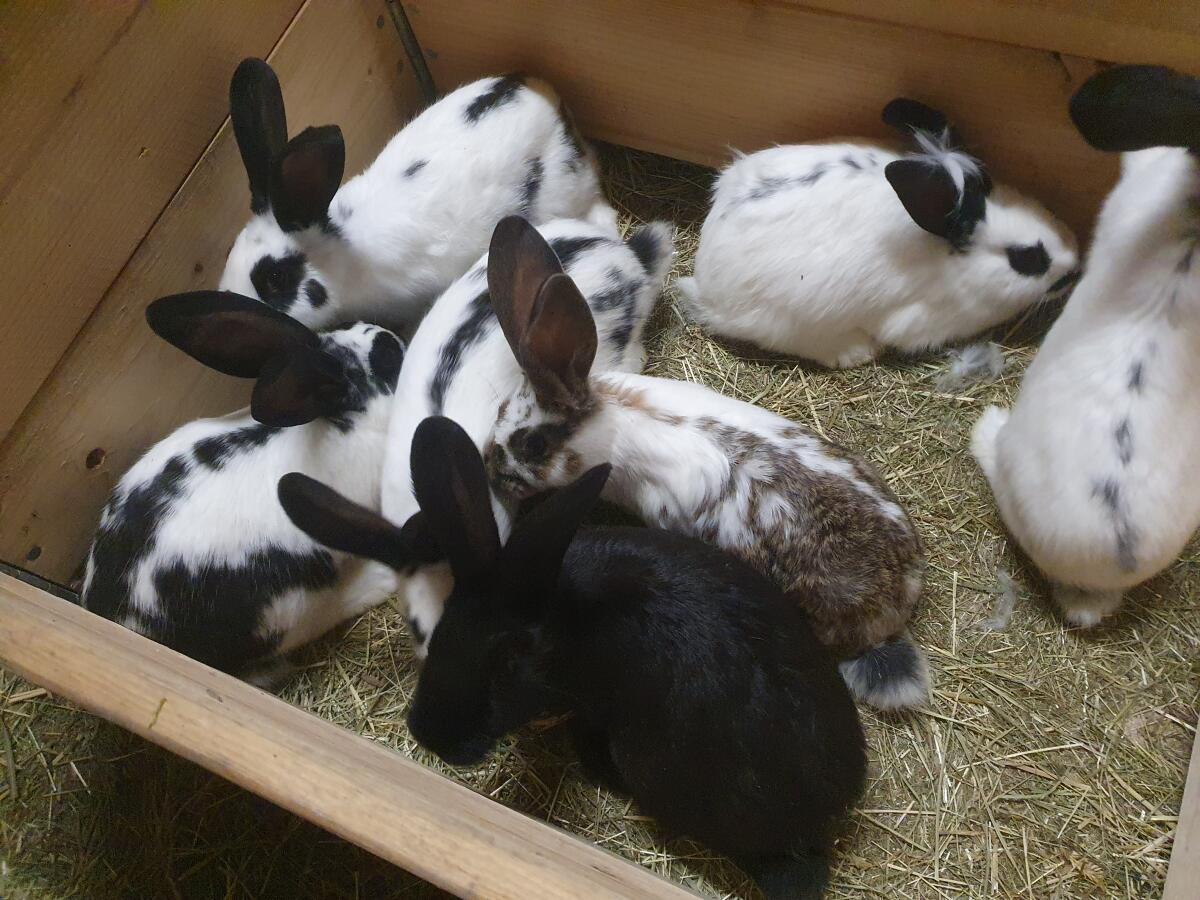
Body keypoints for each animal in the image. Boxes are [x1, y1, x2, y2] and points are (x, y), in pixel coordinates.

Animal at [80, 292, 435, 680]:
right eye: (385, 361)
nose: (390, 337)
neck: (342, 417)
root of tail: (129, 621)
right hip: (288, 607)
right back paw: (376, 581)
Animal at [220, 58, 613, 332]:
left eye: (275, 278)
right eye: (229, 253)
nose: (230, 302)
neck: (347, 255)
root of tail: (551, 100)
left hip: (564, 194)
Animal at [676, 98, 1081, 368]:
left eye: (1049, 209)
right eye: (1026, 257)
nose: (1075, 266)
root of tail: (706, 282)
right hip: (793, 322)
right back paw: (857, 352)